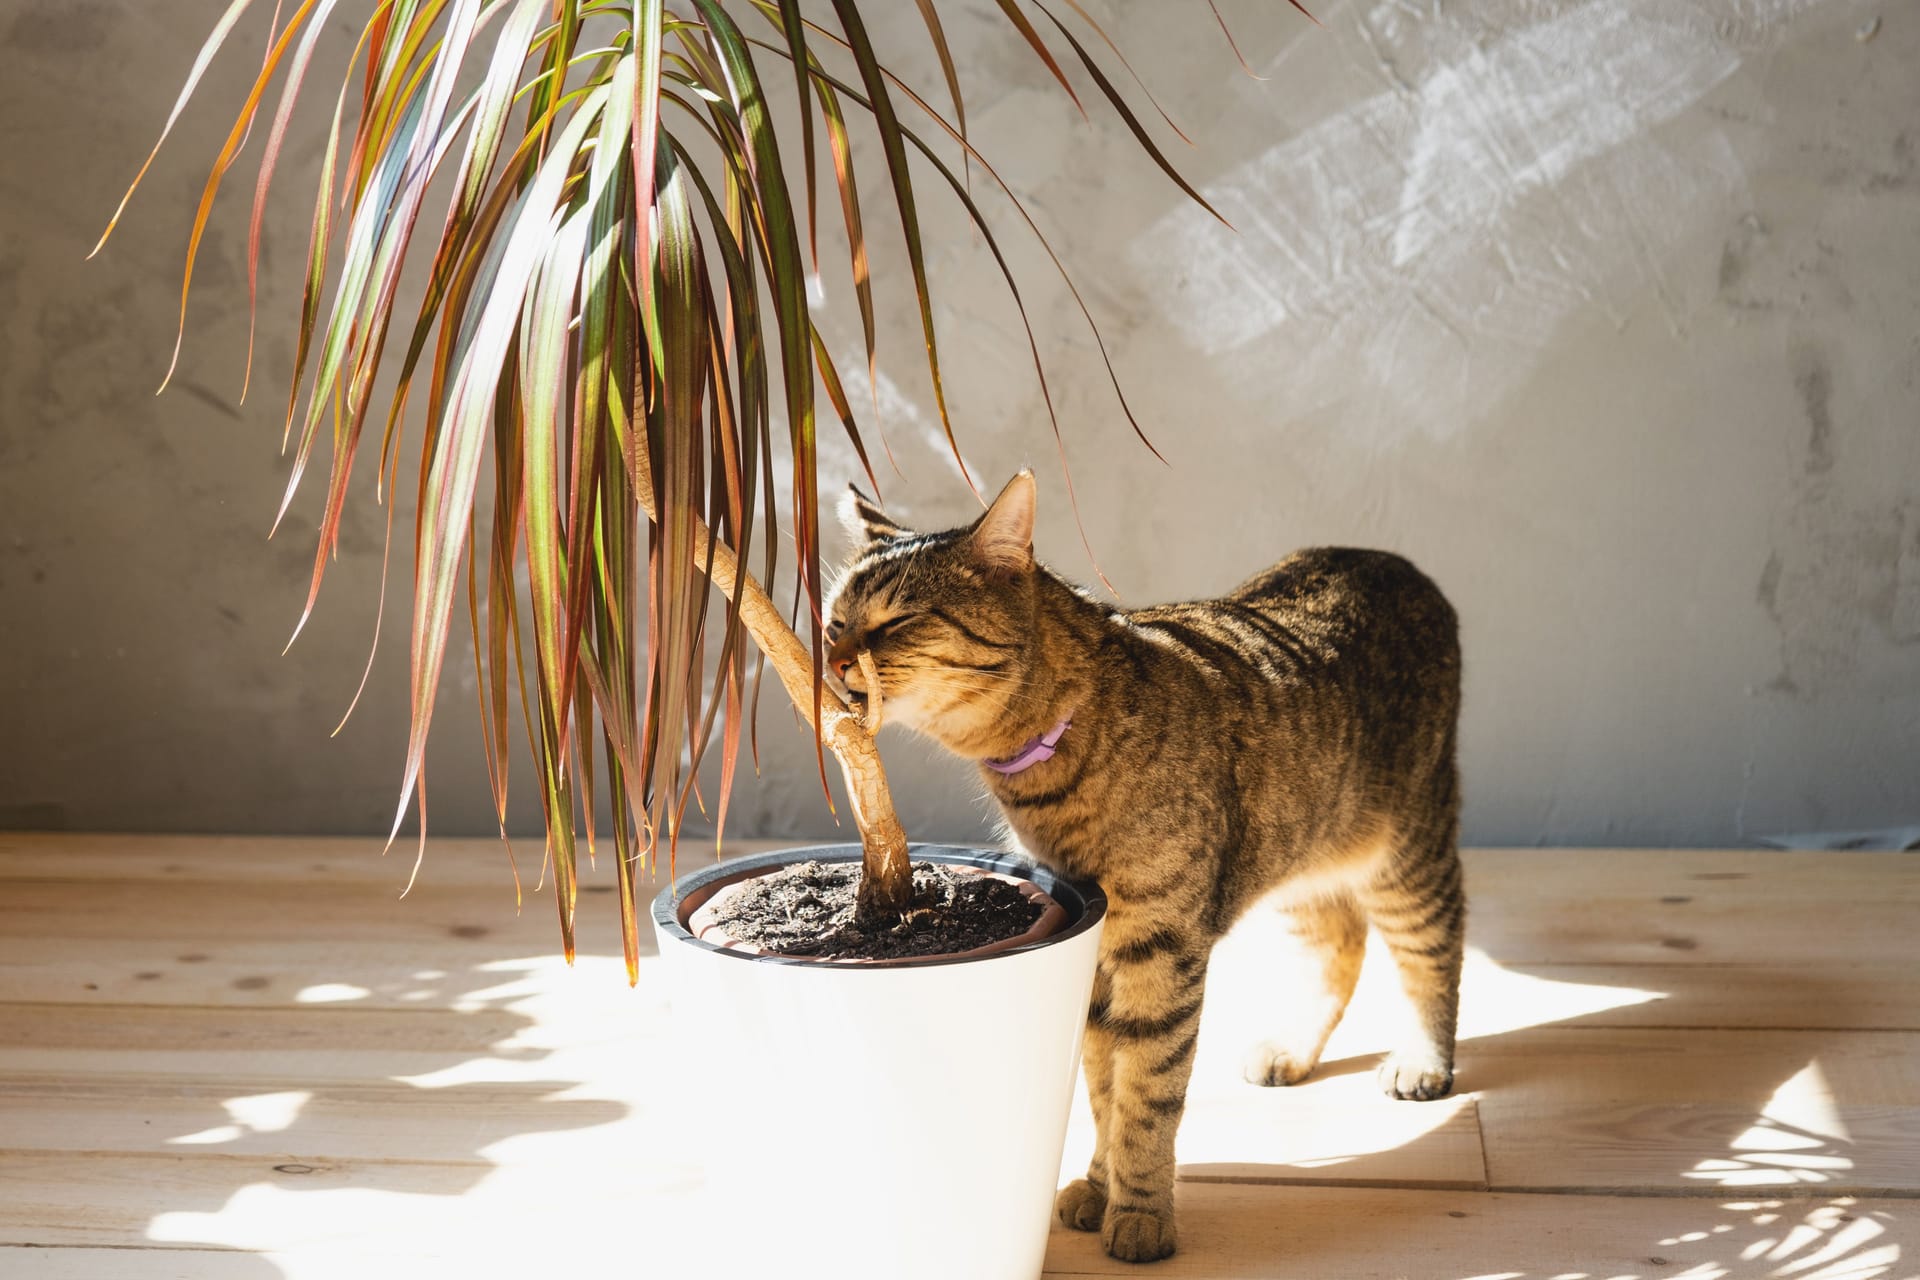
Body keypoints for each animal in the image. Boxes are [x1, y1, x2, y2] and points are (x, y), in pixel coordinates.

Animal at [817, 470, 1459, 1258]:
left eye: (897, 621)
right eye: (832, 624)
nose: (828, 662)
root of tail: (1382, 557)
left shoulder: (1161, 947)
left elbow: (1148, 1094)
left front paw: (1142, 1209)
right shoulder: (1092, 950)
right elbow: (1103, 1088)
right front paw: (1101, 1185)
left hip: (1408, 849)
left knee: (1435, 947)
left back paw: (1423, 1060)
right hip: (1300, 853)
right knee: (1340, 943)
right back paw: (1292, 1048)